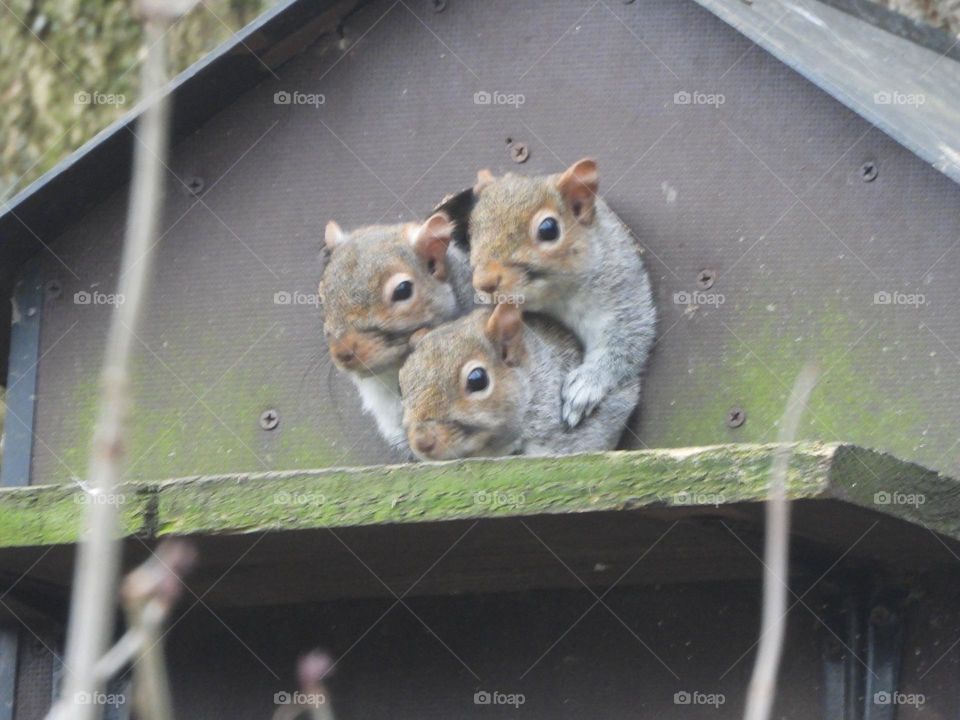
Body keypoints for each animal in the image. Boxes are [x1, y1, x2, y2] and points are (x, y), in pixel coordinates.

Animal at [468, 159, 656, 429]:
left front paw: (585, 386)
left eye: (548, 229)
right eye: (472, 230)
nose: (483, 281)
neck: (555, 298)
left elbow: (626, 340)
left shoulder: (621, 292)